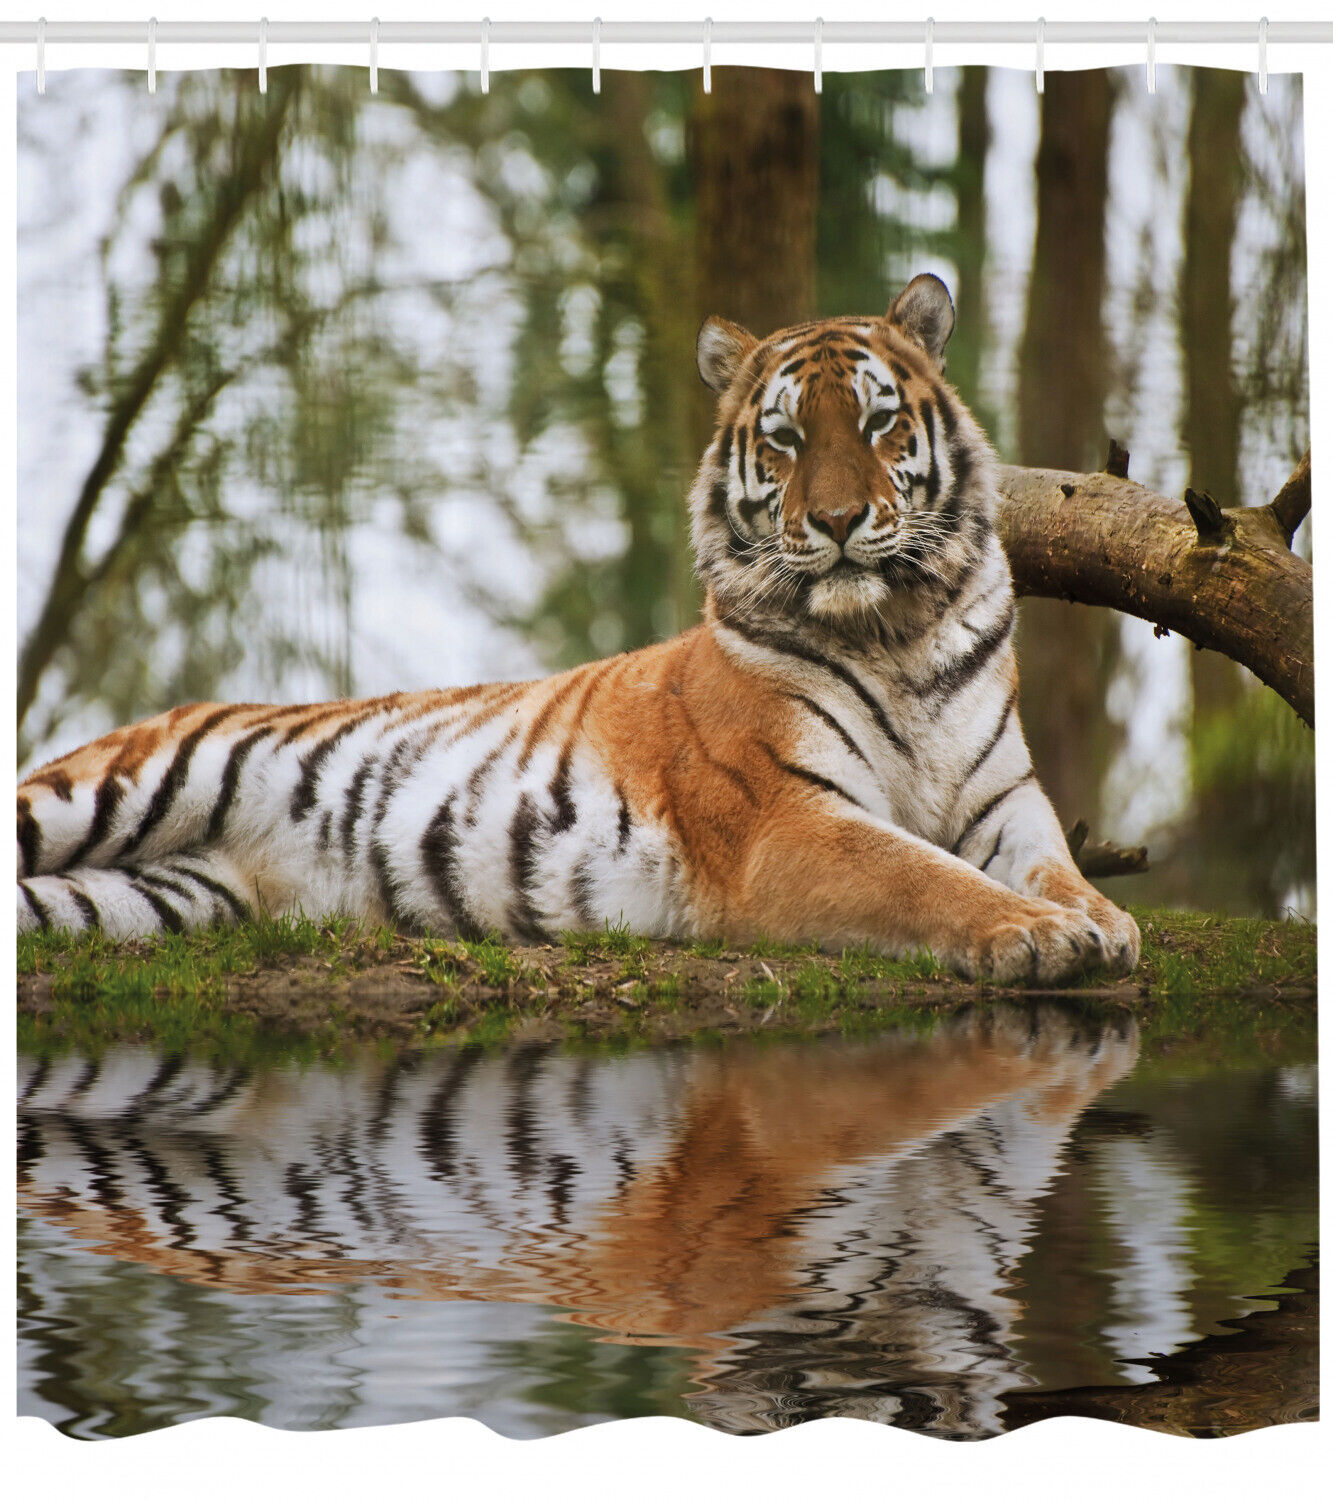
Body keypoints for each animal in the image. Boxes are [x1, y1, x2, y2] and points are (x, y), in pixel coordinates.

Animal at [16, 274, 1139, 984]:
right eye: (783, 439)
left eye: (877, 423)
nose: (834, 521)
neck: (895, 632)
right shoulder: (789, 820)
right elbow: (923, 876)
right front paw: (1039, 935)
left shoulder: (1003, 800)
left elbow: (1050, 863)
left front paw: (1100, 919)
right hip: (112, 788)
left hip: (157, 897)